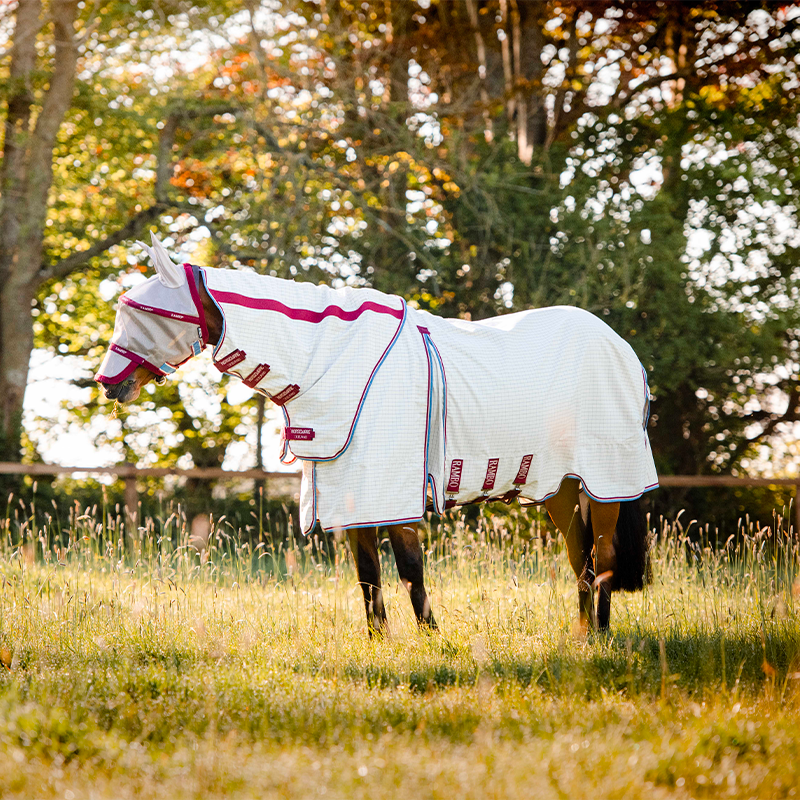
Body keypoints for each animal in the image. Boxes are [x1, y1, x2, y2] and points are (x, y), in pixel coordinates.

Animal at [95, 234, 656, 636]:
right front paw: (379, 641)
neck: (332, 360)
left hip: (605, 484)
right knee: (580, 559)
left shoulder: (389, 493)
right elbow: (368, 575)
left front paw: (432, 639)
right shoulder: (352, 500)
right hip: (560, 486)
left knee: (603, 560)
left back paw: (600, 635)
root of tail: (619, 345)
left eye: (142, 313)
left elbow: (409, 569)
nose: (107, 383)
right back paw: (581, 633)